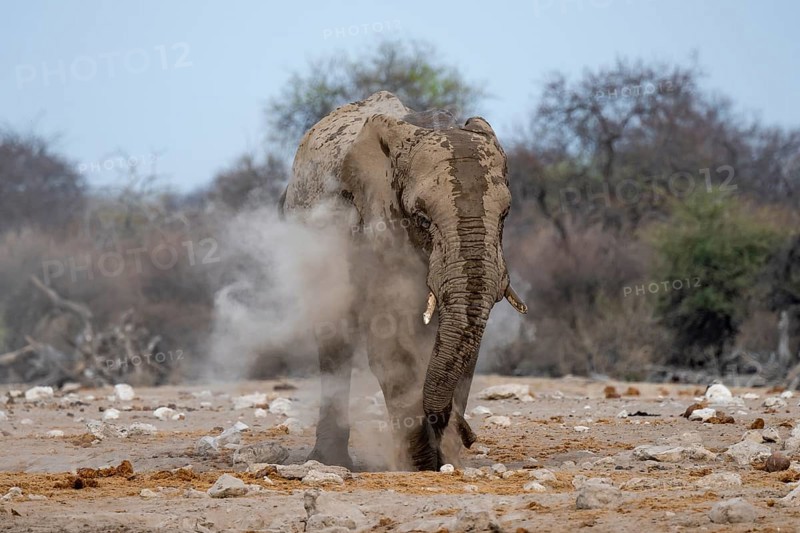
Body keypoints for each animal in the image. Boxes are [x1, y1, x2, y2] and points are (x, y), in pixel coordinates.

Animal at [280, 91, 527, 471]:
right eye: (422, 218)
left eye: (505, 216)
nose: (471, 435)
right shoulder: (371, 227)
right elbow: (389, 344)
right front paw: (420, 465)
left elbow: (464, 348)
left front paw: (447, 462)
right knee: (334, 338)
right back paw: (330, 461)